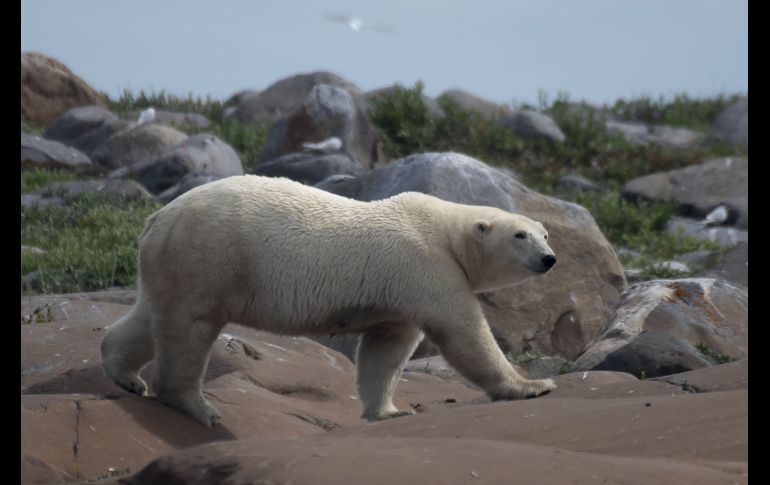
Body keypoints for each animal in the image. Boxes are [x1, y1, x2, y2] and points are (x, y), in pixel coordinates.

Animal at [101, 175, 558, 427]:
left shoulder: (400, 293)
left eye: (544, 233)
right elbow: (465, 333)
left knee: (152, 316)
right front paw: (533, 386)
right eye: (520, 235)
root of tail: (158, 217)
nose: (549, 259)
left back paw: (125, 374)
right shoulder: (427, 266)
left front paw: (389, 411)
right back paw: (198, 406)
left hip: (174, 262)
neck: (445, 230)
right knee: (191, 327)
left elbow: (386, 349)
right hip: (211, 254)